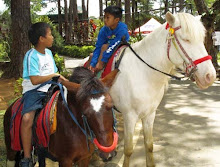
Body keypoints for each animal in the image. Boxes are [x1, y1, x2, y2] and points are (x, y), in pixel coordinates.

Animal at [109, 12, 216, 167]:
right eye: (186, 39)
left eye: (202, 39)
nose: (210, 76)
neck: (143, 73)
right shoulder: (129, 116)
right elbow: (128, 150)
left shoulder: (150, 114)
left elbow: (149, 145)